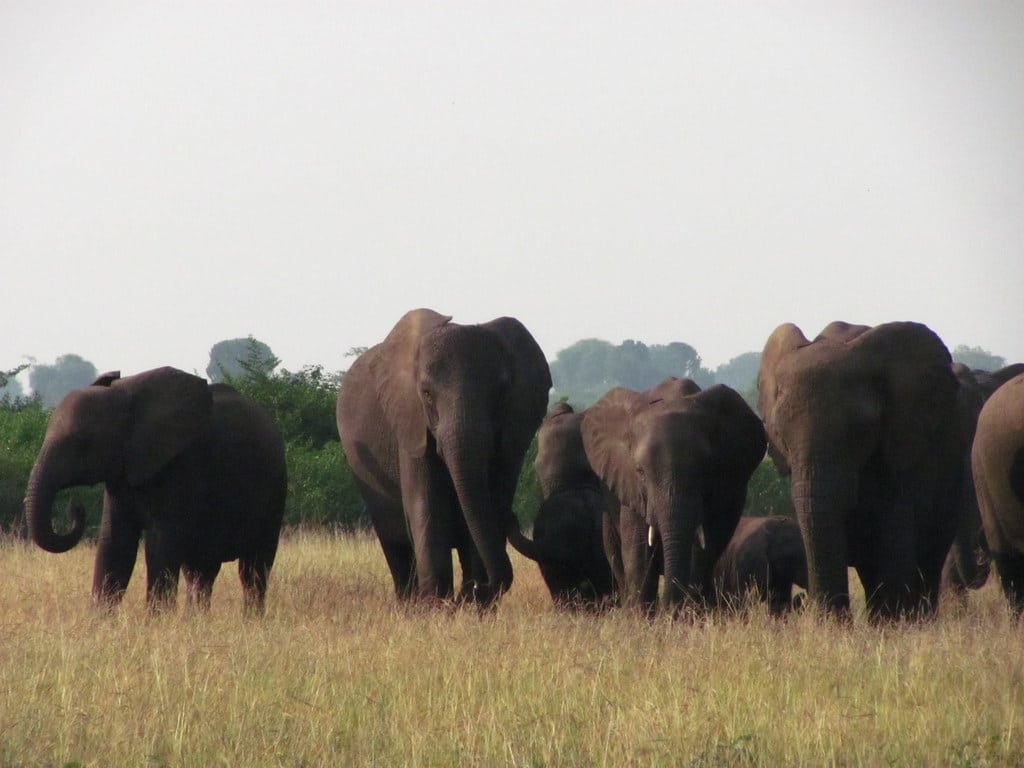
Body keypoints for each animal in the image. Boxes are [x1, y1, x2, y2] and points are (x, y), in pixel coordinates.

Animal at [24, 367, 287, 615]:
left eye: (82, 443)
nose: (75, 506)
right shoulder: (122, 472)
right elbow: (114, 542)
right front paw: (100, 622)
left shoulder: (182, 464)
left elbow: (160, 546)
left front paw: (156, 621)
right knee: (201, 571)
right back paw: (196, 621)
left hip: (274, 491)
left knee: (253, 569)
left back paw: (250, 620)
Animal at [336, 309, 551, 605]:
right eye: (426, 394)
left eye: (501, 394)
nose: (479, 587)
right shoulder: (411, 424)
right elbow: (427, 506)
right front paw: (437, 607)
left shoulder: (512, 434)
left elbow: (491, 503)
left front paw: (474, 605)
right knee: (396, 546)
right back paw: (410, 605)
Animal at [580, 377, 767, 613]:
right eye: (640, 471)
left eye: (706, 469)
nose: (668, 610)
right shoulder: (632, 490)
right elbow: (639, 555)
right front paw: (643, 617)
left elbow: (703, 551)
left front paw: (688, 614)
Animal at [758, 321, 963, 621]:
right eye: (780, 435)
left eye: (860, 430)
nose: (804, 603)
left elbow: (894, 536)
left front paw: (895, 624)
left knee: (929, 555)